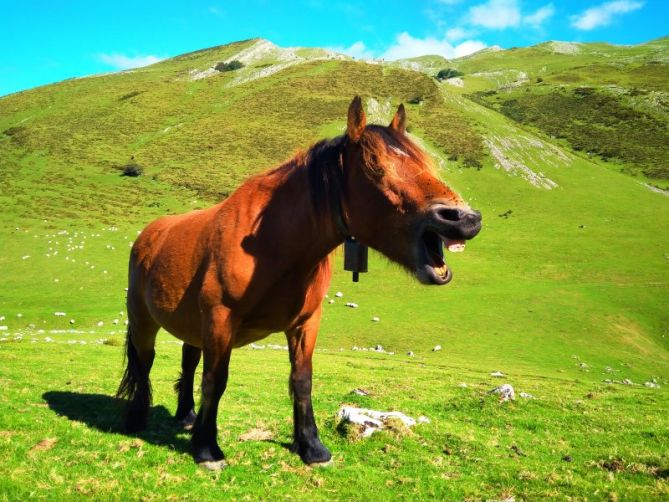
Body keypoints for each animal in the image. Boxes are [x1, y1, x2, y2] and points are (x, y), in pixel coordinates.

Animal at [115, 96, 480, 468]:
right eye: (375, 167)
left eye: (425, 162)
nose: (465, 219)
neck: (273, 244)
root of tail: (148, 235)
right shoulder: (220, 319)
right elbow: (215, 380)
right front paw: (207, 448)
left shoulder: (305, 323)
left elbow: (302, 380)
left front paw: (311, 446)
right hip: (144, 320)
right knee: (144, 361)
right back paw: (136, 418)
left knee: (188, 360)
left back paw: (187, 415)